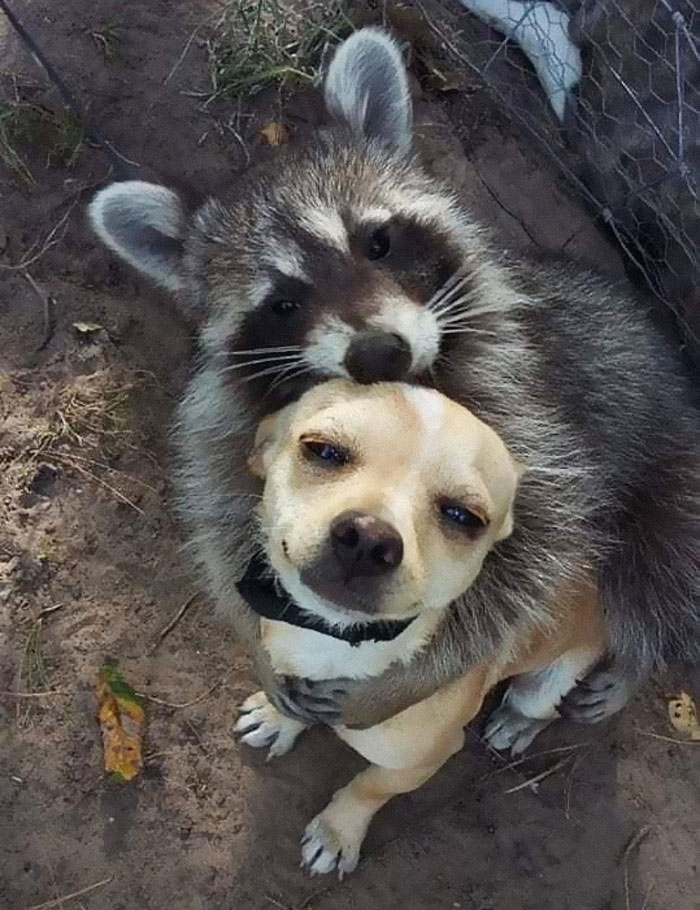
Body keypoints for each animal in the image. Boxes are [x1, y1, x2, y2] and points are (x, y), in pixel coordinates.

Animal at [89, 28, 700, 730]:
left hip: (670, 476)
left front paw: (407, 682)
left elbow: (525, 569)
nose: (378, 352)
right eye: (283, 304)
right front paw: (262, 650)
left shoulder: (529, 411)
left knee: (657, 575)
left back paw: (632, 663)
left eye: (377, 242)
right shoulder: (228, 421)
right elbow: (224, 522)